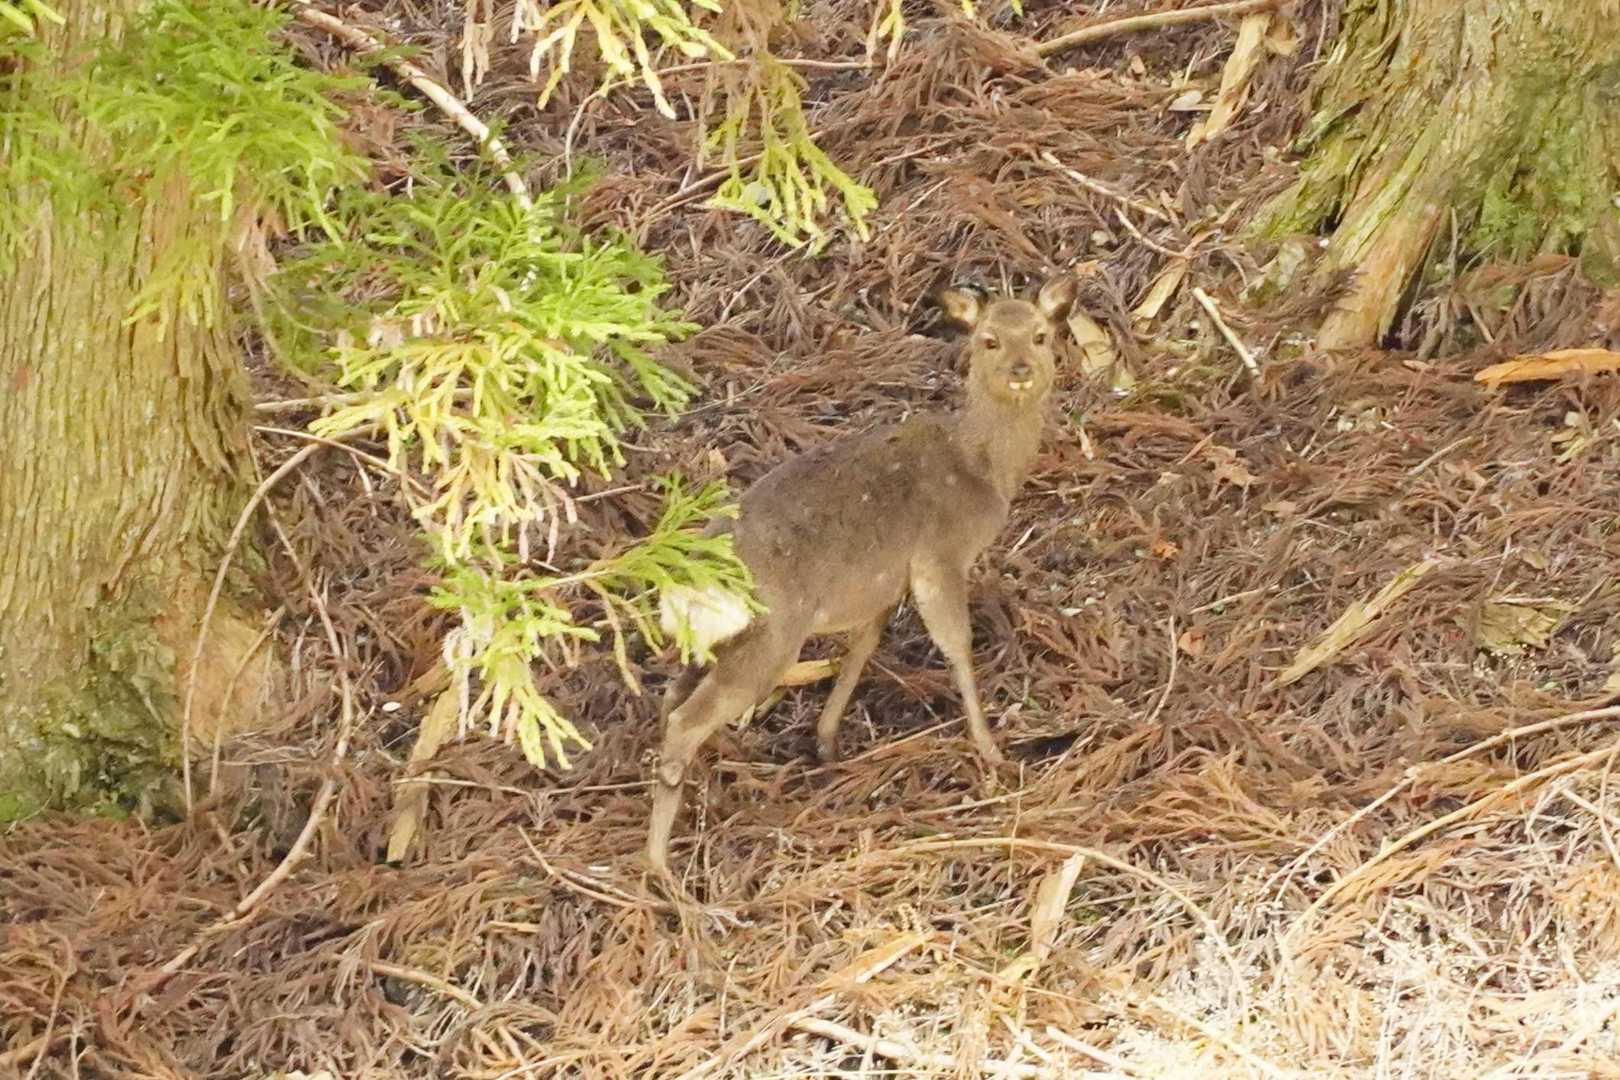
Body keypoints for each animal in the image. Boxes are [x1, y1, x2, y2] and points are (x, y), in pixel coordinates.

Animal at [647, 273, 1079, 874]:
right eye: (989, 340)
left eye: (1040, 335)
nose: (1021, 369)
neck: (984, 473)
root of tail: (690, 586)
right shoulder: (939, 556)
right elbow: (957, 645)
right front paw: (992, 751)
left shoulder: (881, 584)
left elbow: (863, 645)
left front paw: (827, 742)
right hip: (774, 634)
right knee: (687, 719)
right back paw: (660, 868)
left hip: (717, 641)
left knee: (672, 697)